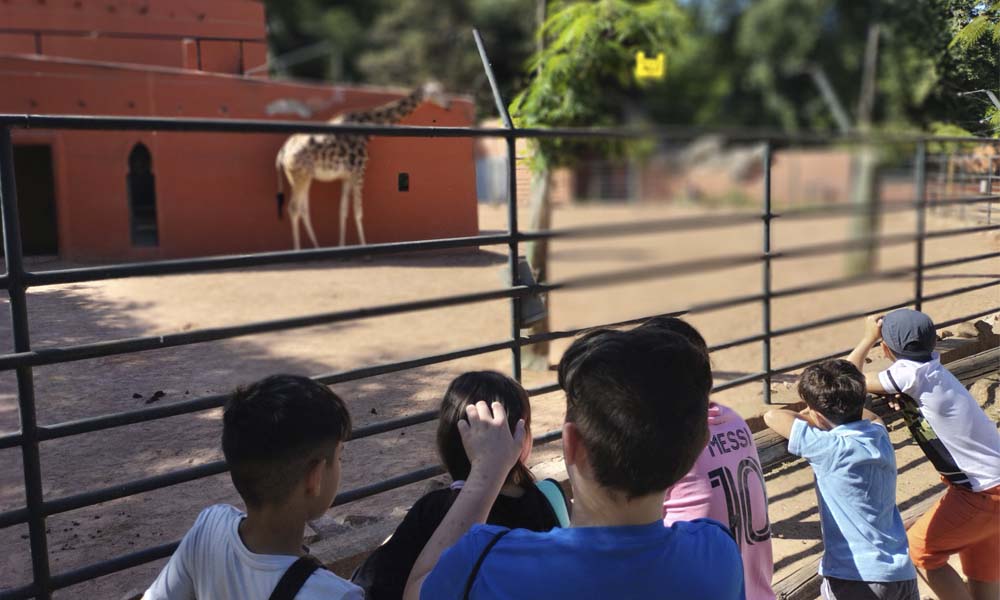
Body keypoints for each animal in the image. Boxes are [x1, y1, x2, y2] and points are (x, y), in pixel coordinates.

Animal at [272, 82, 448, 248]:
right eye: (437, 90)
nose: (449, 104)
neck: (366, 130)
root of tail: (282, 153)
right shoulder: (359, 170)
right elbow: (358, 212)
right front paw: (364, 247)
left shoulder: (346, 176)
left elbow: (343, 211)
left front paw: (341, 246)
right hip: (300, 175)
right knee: (294, 208)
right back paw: (299, 249)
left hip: (302, 176)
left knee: (303, 209)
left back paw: (316, 247)